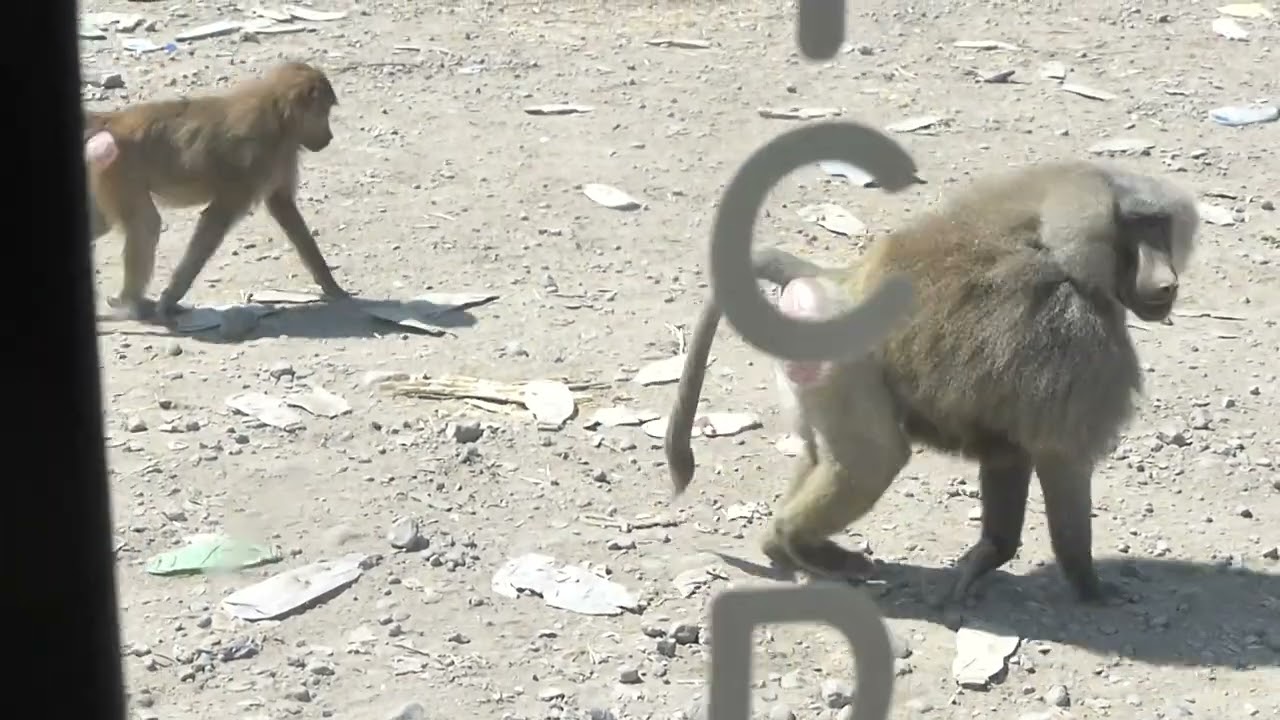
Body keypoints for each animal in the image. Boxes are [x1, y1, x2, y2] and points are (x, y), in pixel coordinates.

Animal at [83, 60, 349, 323]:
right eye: (324, 111)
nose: (329, 137)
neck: (278, 114)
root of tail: (112, 121)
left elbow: (283, 207)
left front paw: (331, 285)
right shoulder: (252, 161)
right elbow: (215, 220)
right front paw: (170, 299)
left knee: (110, 222)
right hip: (118, 169)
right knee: (145, 223)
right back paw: (132, 304)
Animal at [665, 160, 1200, 606]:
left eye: (1159, 226)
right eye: (1137, 228)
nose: (1167, 282)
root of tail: (844, 282)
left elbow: (1009, 450)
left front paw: (984, 560)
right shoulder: (1075, 336)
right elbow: (1059, 455)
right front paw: (1089, 585)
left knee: (825, 456)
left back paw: (781, 547)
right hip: (842, 361)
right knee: (874, 459)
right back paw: (799, 542)